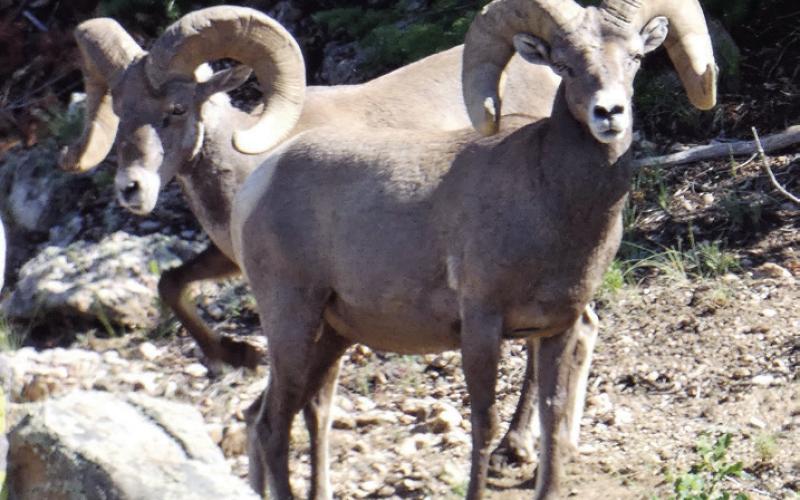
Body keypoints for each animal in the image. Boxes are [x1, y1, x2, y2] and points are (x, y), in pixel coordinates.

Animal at [60, 5, 576, 480]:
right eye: (121, 112)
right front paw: (236, 355)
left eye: (177, 109)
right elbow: (170, 284)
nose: (131, 189)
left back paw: (516, 447)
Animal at [230, 0, 717, 497]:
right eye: (564, 65)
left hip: (330, 336)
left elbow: (553, 417)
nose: (609, 113)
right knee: (272, 426)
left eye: (635, 58)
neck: (548, 199)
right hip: (292, 323)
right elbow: (485, 424)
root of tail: (260, 182)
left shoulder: (556, 329)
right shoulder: (482, 325)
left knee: (279, 415)